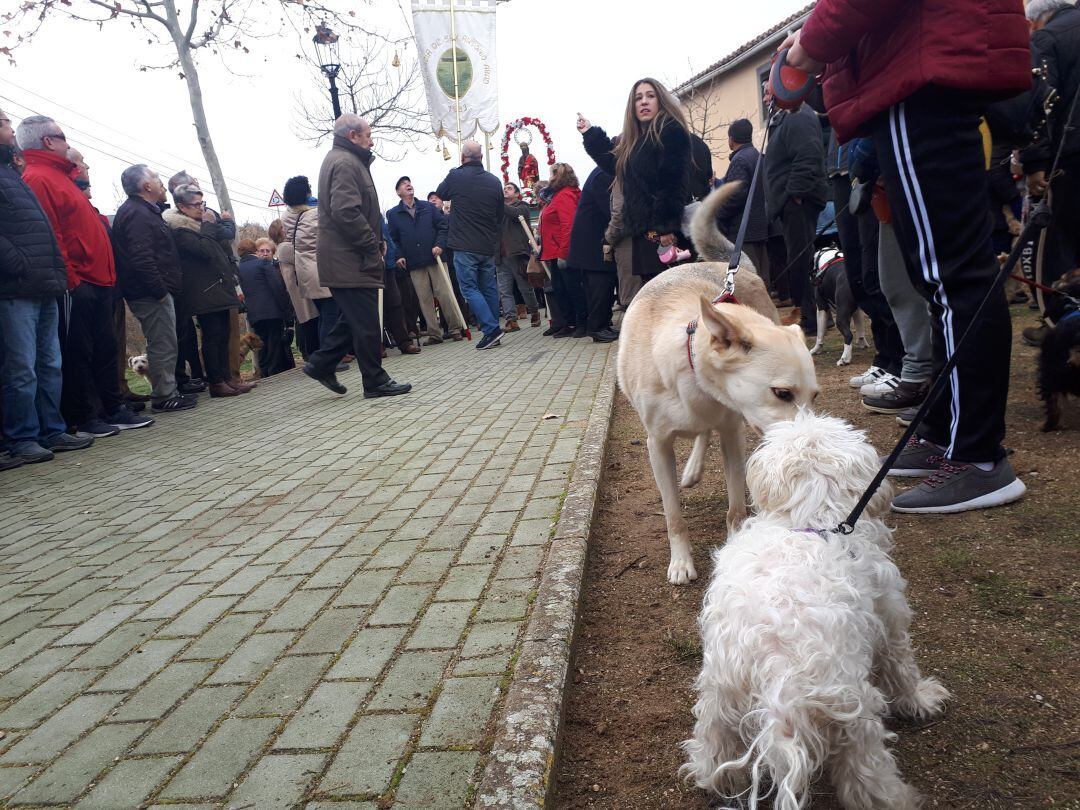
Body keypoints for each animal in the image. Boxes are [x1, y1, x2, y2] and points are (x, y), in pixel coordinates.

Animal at [617, 186, 816, 587]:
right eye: (782, 394)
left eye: (814, 395)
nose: (805, 451)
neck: (692, 377)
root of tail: (737, 270)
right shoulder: (657, 446)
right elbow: (673, 516)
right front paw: (681, 562)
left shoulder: (733, 432)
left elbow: (735, 508)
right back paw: (692, 470)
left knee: (704, 431)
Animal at [682, 412, 946, 810]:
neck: (814, 517)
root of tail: (779, 676)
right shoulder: (890, 615)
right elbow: (902, 668)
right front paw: (921, 699)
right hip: (855, 712)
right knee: (865, 782)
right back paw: (897, 798)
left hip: (720, 694)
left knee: (712, 748)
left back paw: (716, 779)